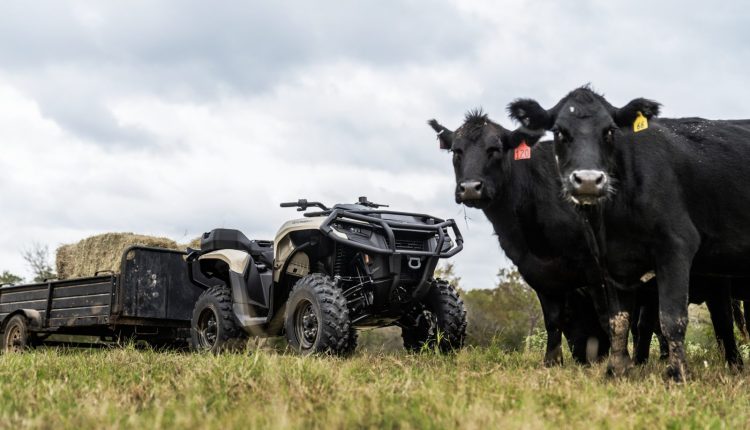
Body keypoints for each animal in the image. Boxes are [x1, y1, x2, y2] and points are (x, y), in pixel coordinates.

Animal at [428, 111, 612, 366]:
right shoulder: (538, 271)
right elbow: (553, 319)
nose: (470, 188)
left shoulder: (596, 269)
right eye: (457, 151)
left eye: (494, 149)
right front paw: (551, 362)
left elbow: (608, 316)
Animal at [508, 85, 748, 382]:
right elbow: (619, 320)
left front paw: (678, 374)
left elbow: (672, 318)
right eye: (560, 132)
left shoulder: (676, 246)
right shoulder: (611, 262)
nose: (588, 180)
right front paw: (616, 370)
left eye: (609, 131)